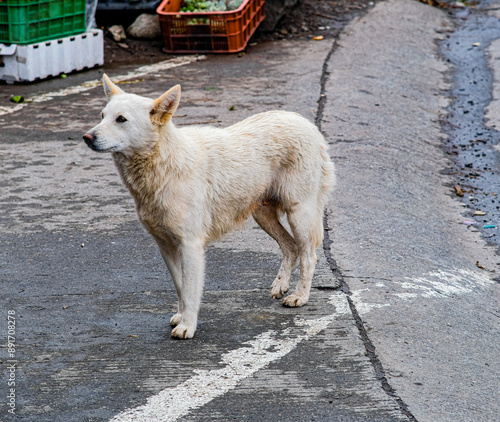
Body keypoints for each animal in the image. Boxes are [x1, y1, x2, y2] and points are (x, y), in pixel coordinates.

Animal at [83, 75, 336, 340]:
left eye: (121, 119)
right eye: (102, 115)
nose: (87, 137)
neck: (165, 162)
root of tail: (307, 123)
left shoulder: (191, 246)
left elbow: (191, 290)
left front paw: (187, 326)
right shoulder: (166, 245)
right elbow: (180, 286)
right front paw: (181, 316)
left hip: (300, 214)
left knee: (308, 255)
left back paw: (299, 296)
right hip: (262, 214)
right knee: (290, 247)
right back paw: (281, 285)